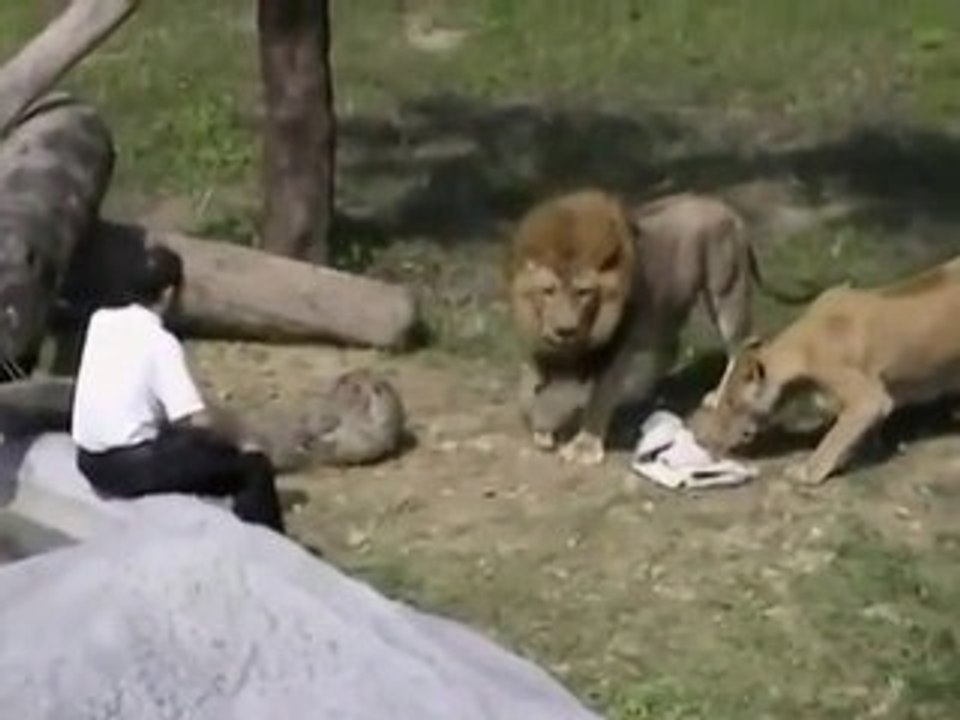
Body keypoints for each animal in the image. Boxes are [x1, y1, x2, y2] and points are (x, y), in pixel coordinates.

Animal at [507, 188, 814, 465]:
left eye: (584, 292)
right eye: (548, 291)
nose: (565, 330)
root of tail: (728, 211)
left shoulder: (618, 348)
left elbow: (599, 399)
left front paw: (584, 448)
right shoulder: (539, 347)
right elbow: (528, 389)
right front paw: (541, 429)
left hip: (725, 293)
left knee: (740, 346)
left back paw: (718, 396)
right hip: (668, 305)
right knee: (671, 347)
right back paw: (644, 393)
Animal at [687, 255, 960, 485]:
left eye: (732, 403)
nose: (703, 439)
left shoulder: (869, 398)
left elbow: (833, 439)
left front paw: (807, 472)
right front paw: (869, 450)